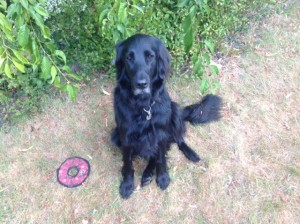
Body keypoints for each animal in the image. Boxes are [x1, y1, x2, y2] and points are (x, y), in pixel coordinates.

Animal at [111, 34, 221, 199]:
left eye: (150, 56)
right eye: (129, 58)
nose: (141, 84)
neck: (144, 106)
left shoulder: (160, 133)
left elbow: (161, 158)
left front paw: (163, 178)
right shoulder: (126, 136)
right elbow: (128, 163)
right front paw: (127, 184)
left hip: (173, 112)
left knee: (178, 141)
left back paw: (189, 154)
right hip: (115, 135)